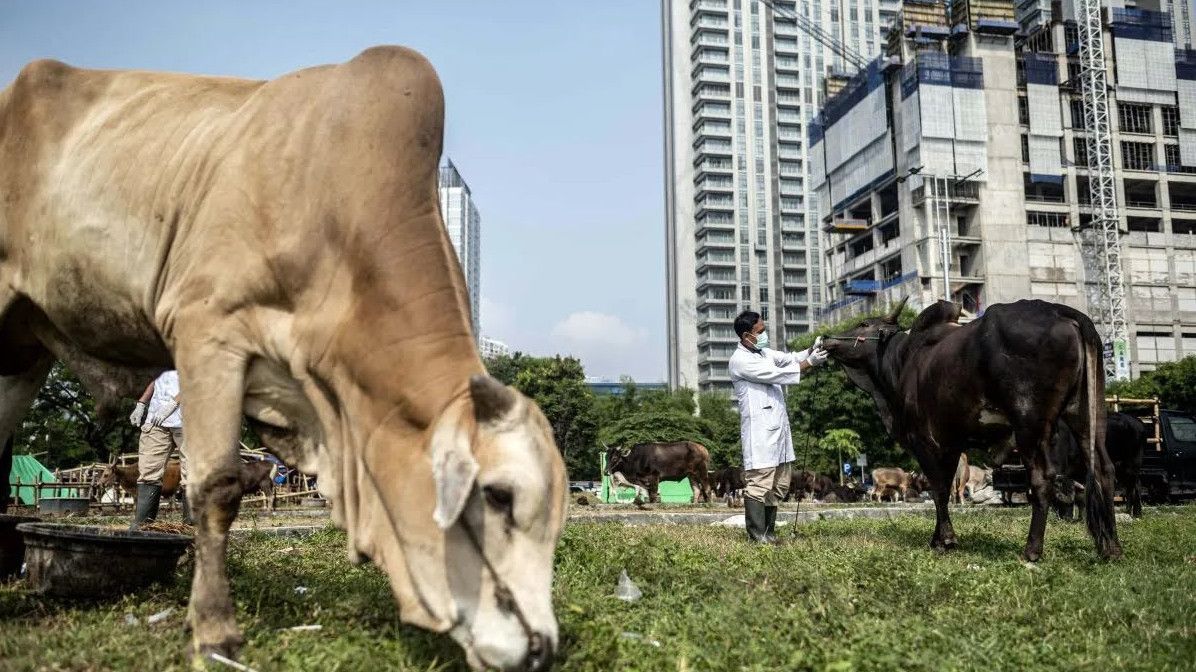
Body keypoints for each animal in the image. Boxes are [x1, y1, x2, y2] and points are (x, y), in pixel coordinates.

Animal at [822, 297, 1119, 559]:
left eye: (863, 324)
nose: (826, 338)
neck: (900, 359)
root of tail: (1062, 312)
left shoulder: (925, 441)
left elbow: (939, 489)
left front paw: (945, 540)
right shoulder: (951, 443)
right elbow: (945, 489)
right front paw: (938, 538)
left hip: (1029, 424)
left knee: (1042, 478)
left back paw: (1032, 550)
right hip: (1087, 413)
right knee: (1103, 470)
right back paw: (1111, 548)